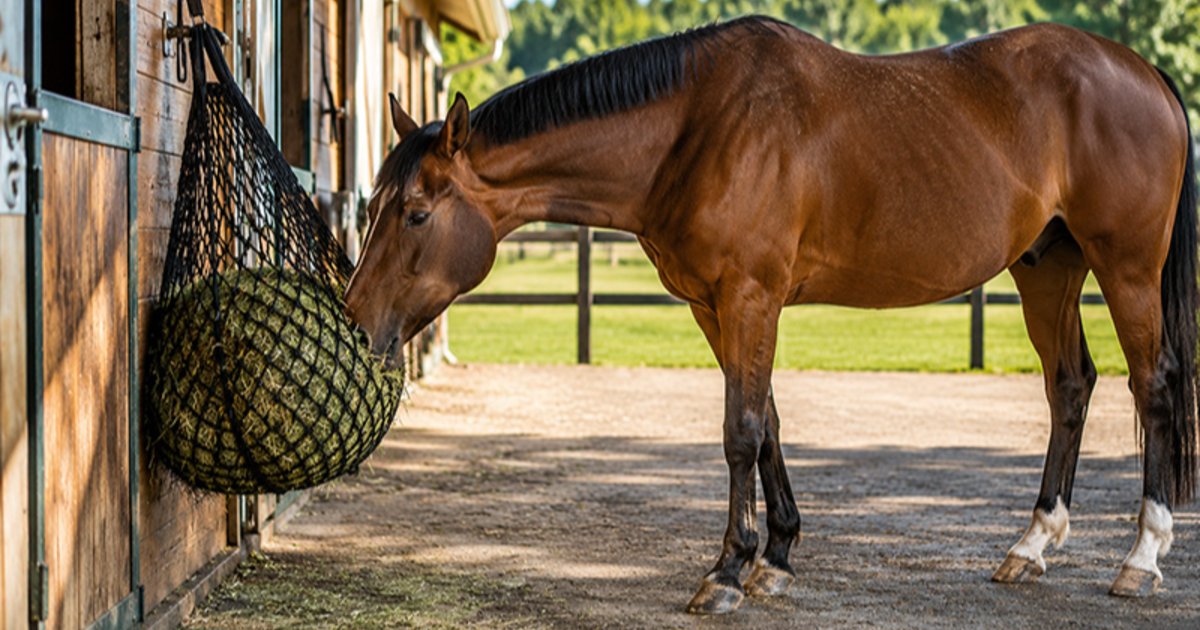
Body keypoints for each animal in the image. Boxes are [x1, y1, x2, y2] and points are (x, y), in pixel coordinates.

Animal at [344, 16, 1197, 614]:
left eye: (415, 213)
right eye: (376, 204)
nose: (353, 320)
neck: (696, 127)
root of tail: (1143, 72)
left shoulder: (750, 296)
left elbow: (741, 431)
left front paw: (726, 571)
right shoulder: (716, 305)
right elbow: (769, 424)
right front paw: (776, 558)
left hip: (1124, 267)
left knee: (1152, 385)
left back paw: (1142, 558)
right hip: (1048, 266)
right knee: (1070, 386)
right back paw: (1032, 544)